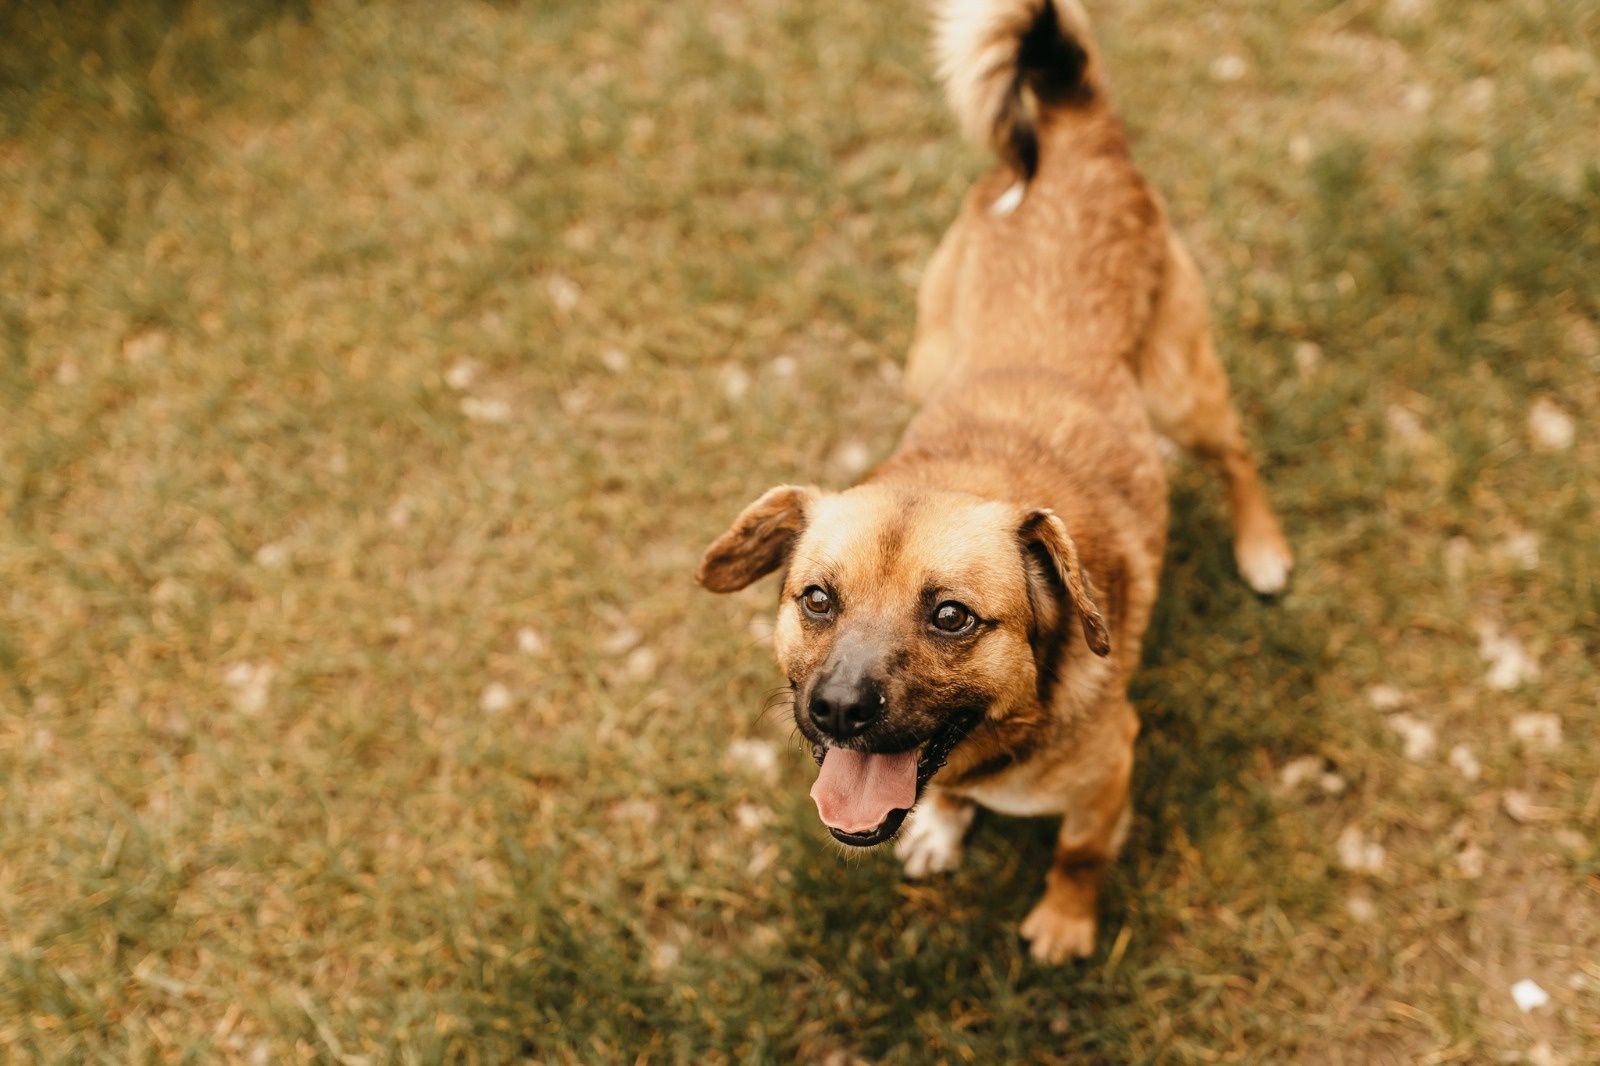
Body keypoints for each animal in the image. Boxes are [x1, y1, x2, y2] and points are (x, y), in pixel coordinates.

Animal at [694, 0, 1292, 960]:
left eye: (952, 617)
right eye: (815, 599)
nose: (837, 710)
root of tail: (1075, 125)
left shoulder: (1111, 771)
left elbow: (1080, 856)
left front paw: (1064, 923)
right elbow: (941, 795)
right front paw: (943, 823)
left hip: (1181, 392)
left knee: (1236, 451)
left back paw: (1263, 547)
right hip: (926, 358)